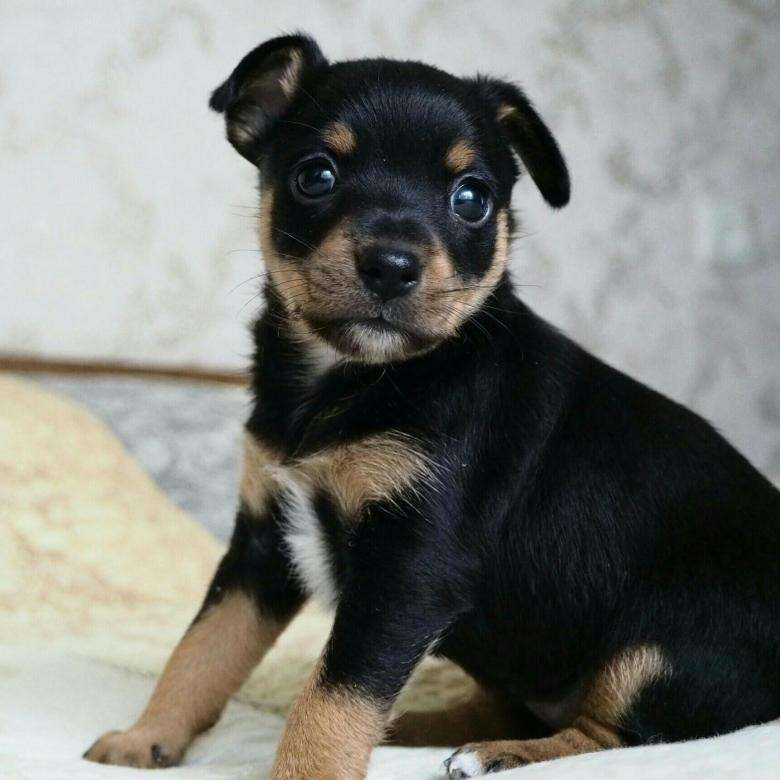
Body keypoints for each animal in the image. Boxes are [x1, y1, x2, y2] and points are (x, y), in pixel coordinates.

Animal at [84, 33, 780, 776]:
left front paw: (305, 768)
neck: (352, 378)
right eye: (315, 176)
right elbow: (203, 648)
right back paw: (417, 729)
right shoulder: (263, 545)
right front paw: (145, 737)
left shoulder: (408, 571)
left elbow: (335, 695)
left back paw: (494, 754)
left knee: (613, 733)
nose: (391, 265)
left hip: (661, 650)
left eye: (472, 198)